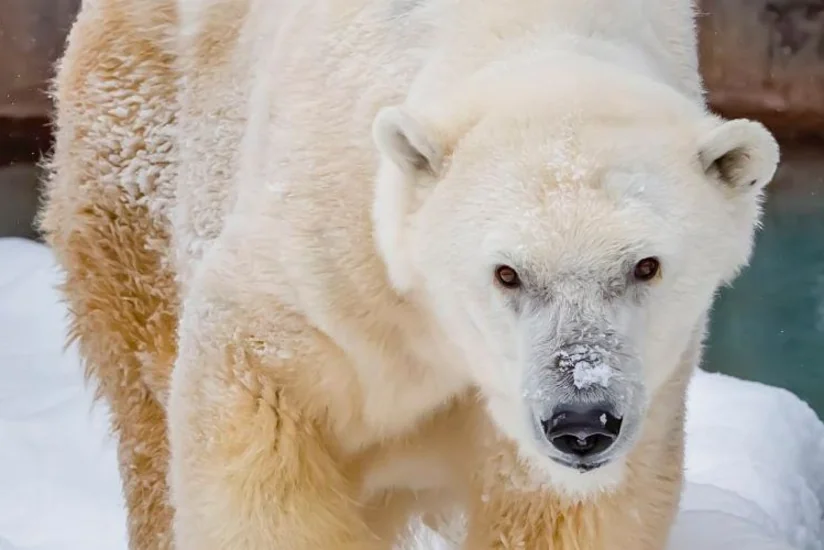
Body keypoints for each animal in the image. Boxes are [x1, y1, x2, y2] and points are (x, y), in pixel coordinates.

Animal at [38, 0, 780, 548]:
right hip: (138, 148)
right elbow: (259, 415)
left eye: (646, 265)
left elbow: (562, 510)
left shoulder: (645, 386)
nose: (580, 422)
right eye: (506, 273)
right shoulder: (334, 255)